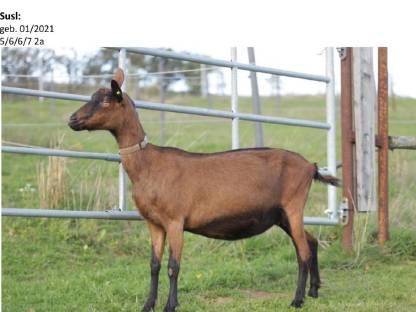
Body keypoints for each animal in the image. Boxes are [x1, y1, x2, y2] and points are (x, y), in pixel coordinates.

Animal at [67, 67, 334, 310]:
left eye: (104, 100)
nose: (71, 120)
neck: (149, 165)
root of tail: (310, 166)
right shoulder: (154, 223)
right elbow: (154, 265)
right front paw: (148, 305)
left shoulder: (175, 220)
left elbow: (173, 266)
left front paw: (170, 305)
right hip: (281, 214)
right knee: (310, 242)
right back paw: (313, 290)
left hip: (293, 205)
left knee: (302, 251)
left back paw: (297, 299)